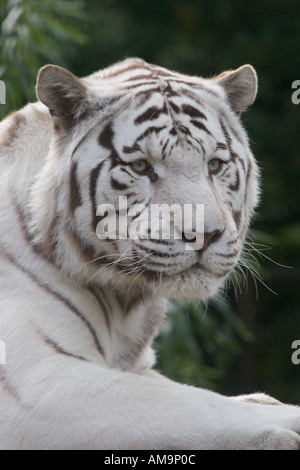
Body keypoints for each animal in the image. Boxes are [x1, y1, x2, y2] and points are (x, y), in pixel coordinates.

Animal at [0, 57, 298, 450]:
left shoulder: (138, 366)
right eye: (141, 166)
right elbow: (198, 405)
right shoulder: (41, 380)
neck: (125, 303)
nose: (204, 235)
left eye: (214, 165)